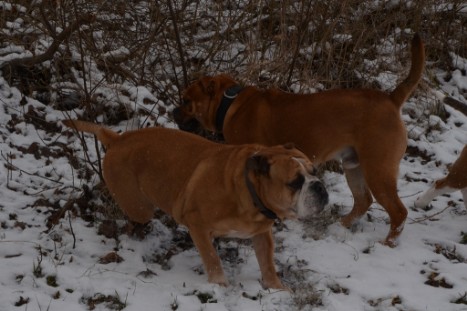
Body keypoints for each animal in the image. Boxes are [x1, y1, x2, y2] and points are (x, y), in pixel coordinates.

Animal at [62, 120, 330, 292]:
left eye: (314, 171)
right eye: (295, 182)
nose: (319, 186)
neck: (249, 192)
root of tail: (118, 138)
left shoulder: (262, 233)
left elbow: (268, 263)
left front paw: (276, 288)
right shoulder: (197, 225)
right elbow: (212, 258)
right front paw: (219, 285)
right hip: (139, 206)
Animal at [174, 33, 426, 249]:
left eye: (186, 101)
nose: (173, 112)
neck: (229, 104)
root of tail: (391, 100)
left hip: (378, 170)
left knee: (398, 212)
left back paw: (388, 243)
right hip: (353, 165)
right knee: (363, 200)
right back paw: (341, 226)